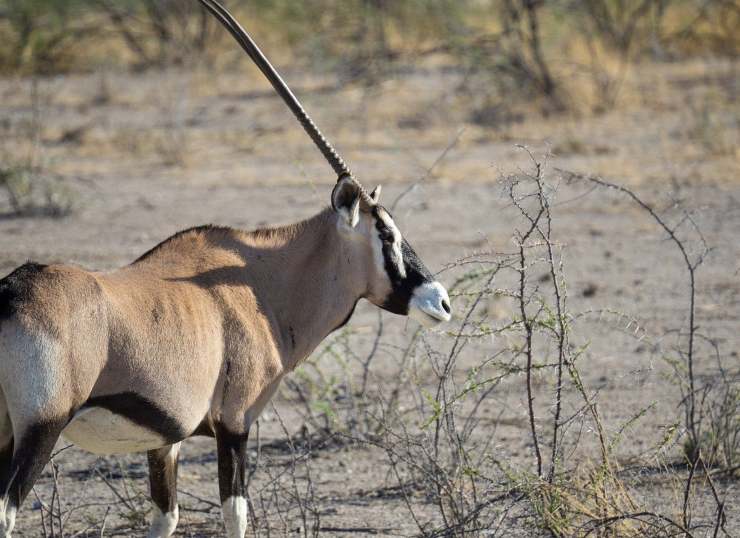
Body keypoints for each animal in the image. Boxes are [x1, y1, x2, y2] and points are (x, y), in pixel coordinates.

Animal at [0, 1, 450, 536]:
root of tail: (8, 295)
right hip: (40, 428)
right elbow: (236, 514)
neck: (260, 284)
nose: (441, 301)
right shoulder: (235, 422)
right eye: (386, 235)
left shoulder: (166, 440)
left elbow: (166, 516)